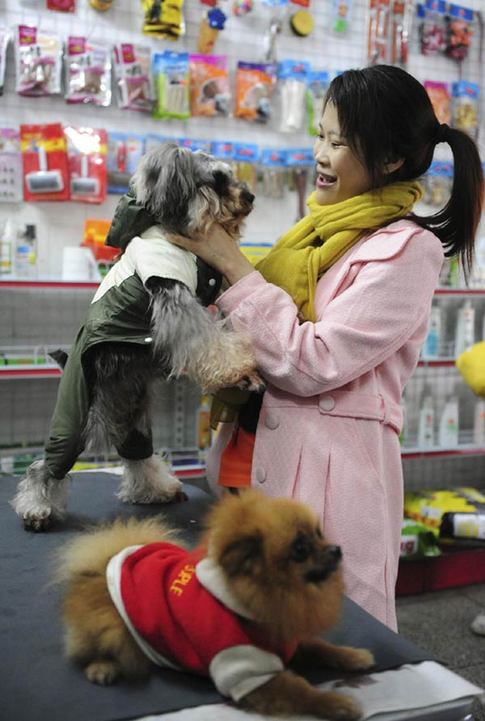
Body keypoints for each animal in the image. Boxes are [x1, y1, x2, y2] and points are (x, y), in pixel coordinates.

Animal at [11, 143, 260, 532]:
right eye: (217, 180)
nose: (249, 196)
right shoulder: (172, 293)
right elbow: (205, 339)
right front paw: (235, 367)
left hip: (131, 414)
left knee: (136, 455)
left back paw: (154, 489)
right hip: (76, 414)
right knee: (47, 465)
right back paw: (37, 508)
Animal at [54, 486, 372, 716]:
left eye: (319, 535)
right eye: (300, 549)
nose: (336, 549)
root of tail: (103, 564)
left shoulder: (287, 635)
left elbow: (321, 646)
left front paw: (353, 656)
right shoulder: (247, 672)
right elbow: (300, 690)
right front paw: (336, 703)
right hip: (113, 627)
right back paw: (102, 668)